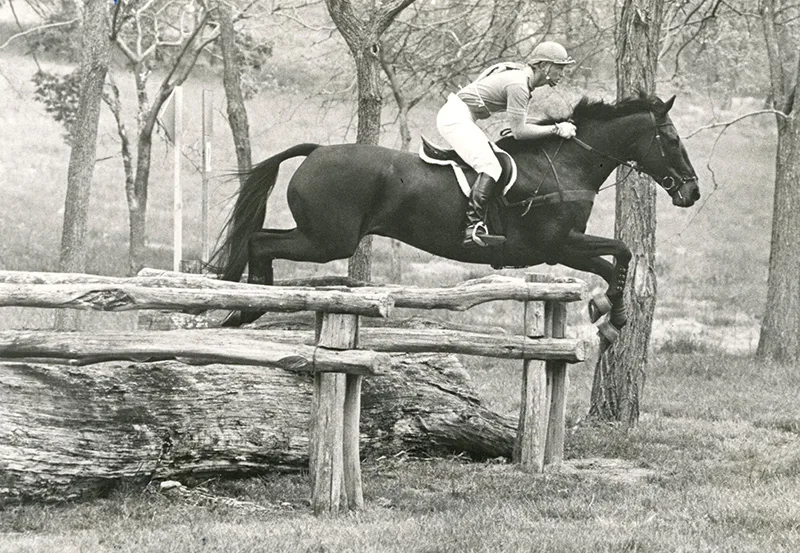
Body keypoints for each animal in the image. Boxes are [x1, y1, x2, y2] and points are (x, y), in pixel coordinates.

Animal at [211, 91, 700, 336]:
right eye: (673, 139)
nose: (692, 192)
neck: (565, 165)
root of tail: (316, 151)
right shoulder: (556, 244)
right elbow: (623, 251)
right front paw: (613, 316)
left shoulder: (563, 248)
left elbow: (613, 261)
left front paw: (608, 312)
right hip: (329, 240)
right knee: (260, 241)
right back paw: (247, 307)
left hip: (321, 236)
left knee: (261, 239)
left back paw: (247, 305)